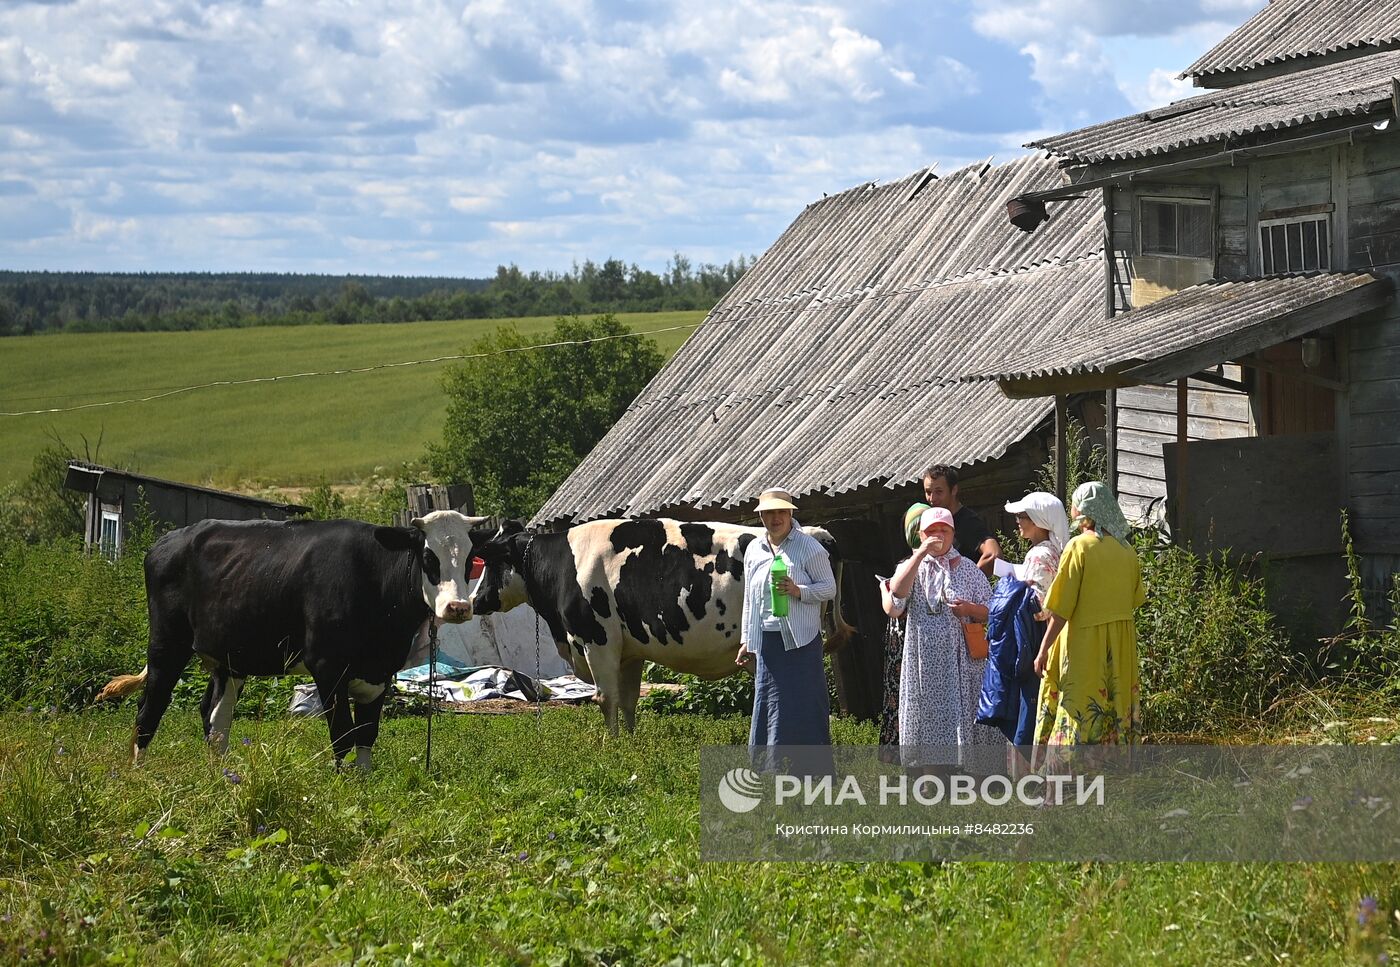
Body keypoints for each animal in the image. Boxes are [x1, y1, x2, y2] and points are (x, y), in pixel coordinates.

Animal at [98, 509, 515, 766]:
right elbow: (342, 735)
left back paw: (222, 778)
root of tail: (169, 539)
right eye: (429, 557)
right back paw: (138, 773)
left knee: (215, 717)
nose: (457, 607)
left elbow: (366, 735)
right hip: (167, 643)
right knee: (149, 709)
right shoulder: (328, 667)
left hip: (229, 658)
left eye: (470, 560)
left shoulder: (378, 674)